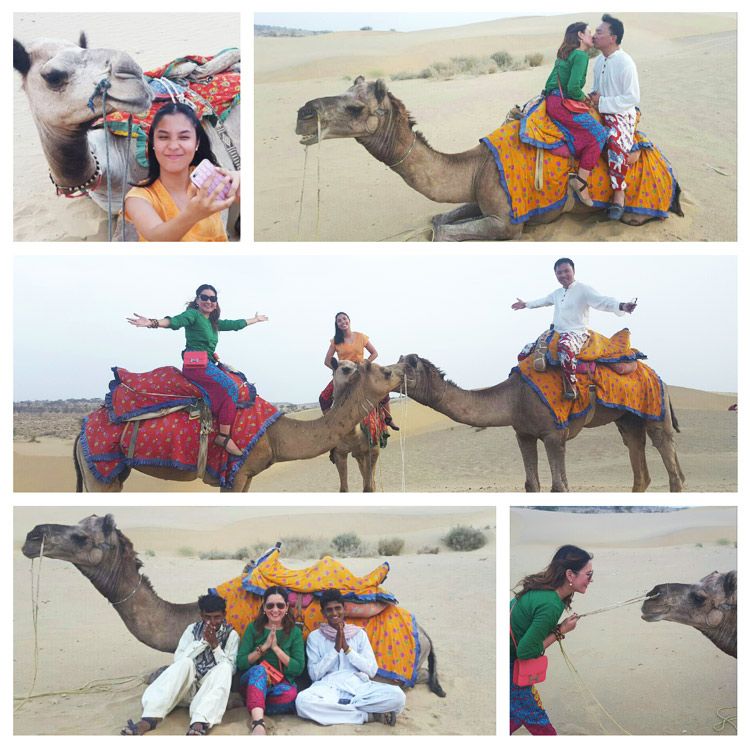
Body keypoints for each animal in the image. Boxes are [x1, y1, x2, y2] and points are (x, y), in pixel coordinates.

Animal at [75, 362, 406, 496]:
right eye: (385, 371)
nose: (406, 366)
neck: (275, 433)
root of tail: (79, 434)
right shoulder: (232, 474)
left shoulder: (246, 475)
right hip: (100, 470)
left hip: (112, 473)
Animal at [296, 76, 684, 242]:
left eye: (355, 107)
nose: (302, 114)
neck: (475, 164)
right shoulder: (480, 194)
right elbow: (439, 220)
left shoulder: (506, 223)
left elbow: (444, 233)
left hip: (639, 204)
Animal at [400, 354, 688, 494]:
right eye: (395, 365)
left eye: (407, 368)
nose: (390, 372)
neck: (515, 397)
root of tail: (660, 378)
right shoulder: (524, 434)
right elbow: (532, 484)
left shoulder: (553, 434)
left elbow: (559, 487)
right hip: (628, 418)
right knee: (636, 452)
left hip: (654, 408)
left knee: (667, 455)